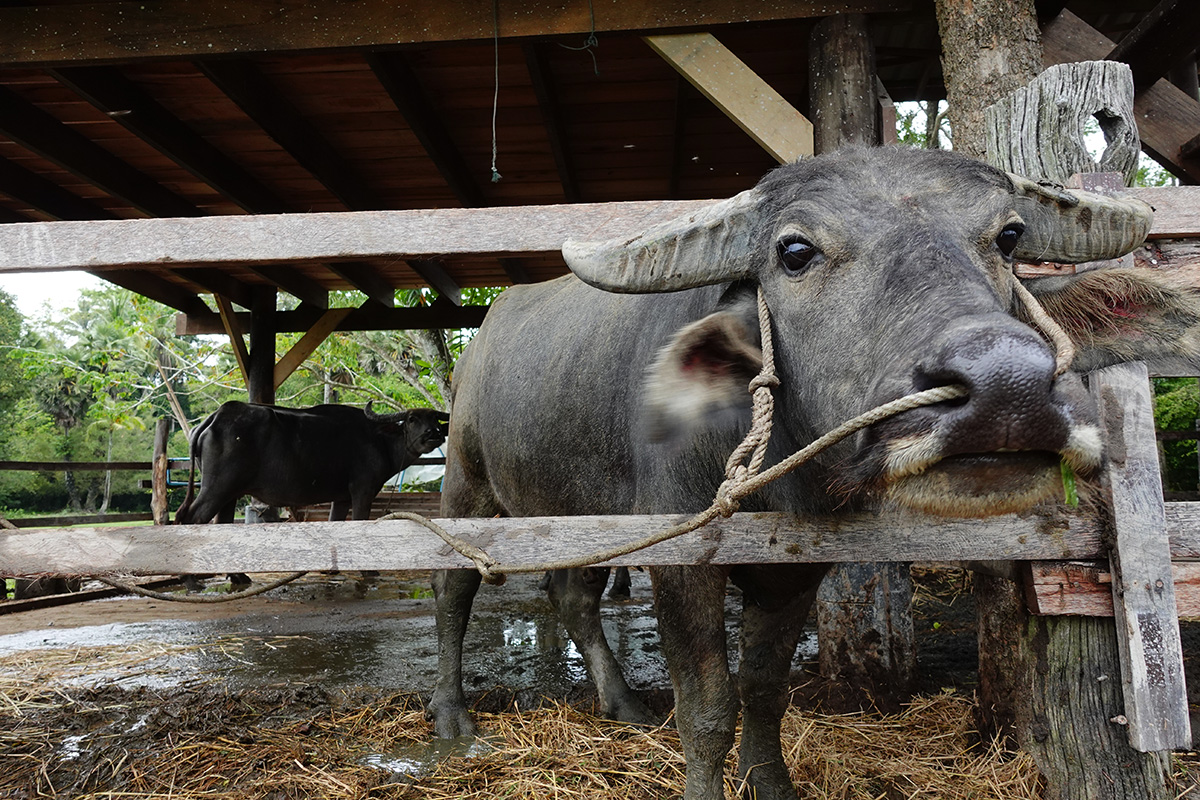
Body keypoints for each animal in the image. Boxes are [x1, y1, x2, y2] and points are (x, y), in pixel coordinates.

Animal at [172, 400, 446, 525]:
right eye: (411, 419)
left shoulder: (342, 497)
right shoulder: (363, 490)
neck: (380, 440)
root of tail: (217, 416)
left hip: (230, 492)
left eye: (435, 419)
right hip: (216, 488)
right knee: (192, 518)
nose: (434, 434)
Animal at [432, 145, 1200, 800]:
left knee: (572, 592)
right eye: (795, 251)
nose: (1006, 388)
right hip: (467, 484)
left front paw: (770, 782)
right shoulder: (681, 560)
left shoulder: (798, 569)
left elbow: (764, 691)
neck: (774, 472)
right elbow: (707, 707)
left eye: (1010, 236)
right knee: (453, 588)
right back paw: (452, 721)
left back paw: (620, 703)